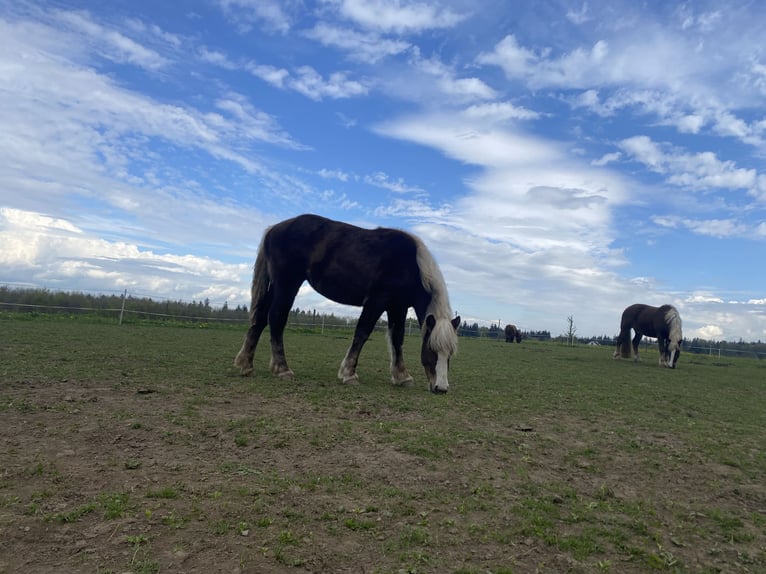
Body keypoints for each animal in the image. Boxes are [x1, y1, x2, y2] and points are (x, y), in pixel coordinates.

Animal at [235, 214, 461, 393]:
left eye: (450, 353)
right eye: (432, 349)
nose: (441, 388)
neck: (410, 264)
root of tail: (274, 228)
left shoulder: (397, 307)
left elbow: (397, 339)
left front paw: (402, 376)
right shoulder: (377, 301)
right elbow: (362, 332)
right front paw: (349, 374)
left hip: (276, 286)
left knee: (260, 318)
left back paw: (246, 365)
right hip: (287, 284)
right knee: (276, 318)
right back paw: (282, 369)